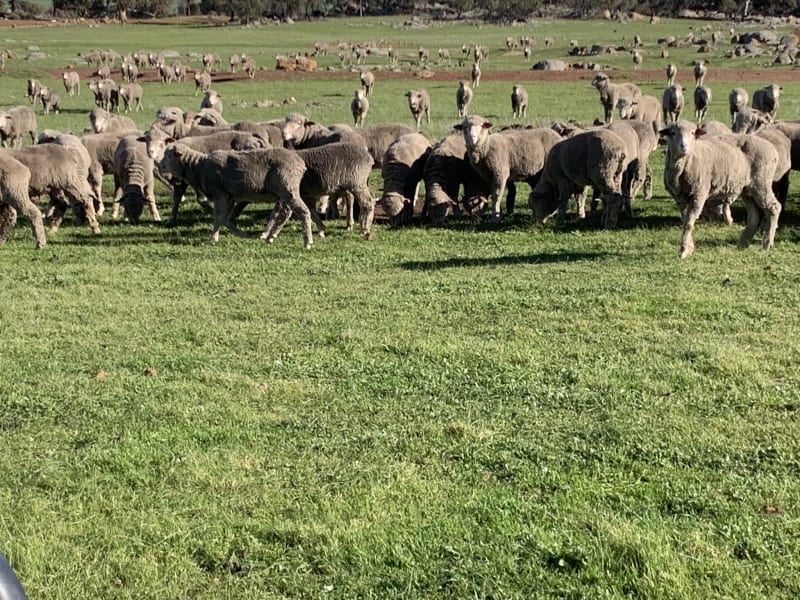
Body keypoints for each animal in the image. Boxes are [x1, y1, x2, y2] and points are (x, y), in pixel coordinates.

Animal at [156, 143, 316, 247]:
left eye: (169, 155)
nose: (159, 166)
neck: (198, 167)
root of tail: (300, 163)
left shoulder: (219, 193)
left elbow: (219, 216)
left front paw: (213, 239)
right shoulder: (228, 195)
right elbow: (224, 218)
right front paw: (240, 233)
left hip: (287, 186)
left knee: (302, 211)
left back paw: (307, 241)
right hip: (283, 190)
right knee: (286, 213)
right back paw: (270, 237)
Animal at [659, 120, 780, 258]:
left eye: (693, 133)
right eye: (673, 133)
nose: (684, 146)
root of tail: (773, 149)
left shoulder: (698, 194)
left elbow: (689, 223)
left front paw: (684, 250)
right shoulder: (679, 198)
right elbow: (685, 221)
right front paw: (689, 247)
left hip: (761, 182)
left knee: (773, 207)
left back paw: (767, 244)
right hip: (748, 189)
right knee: (754, 214)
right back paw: (742, 244)